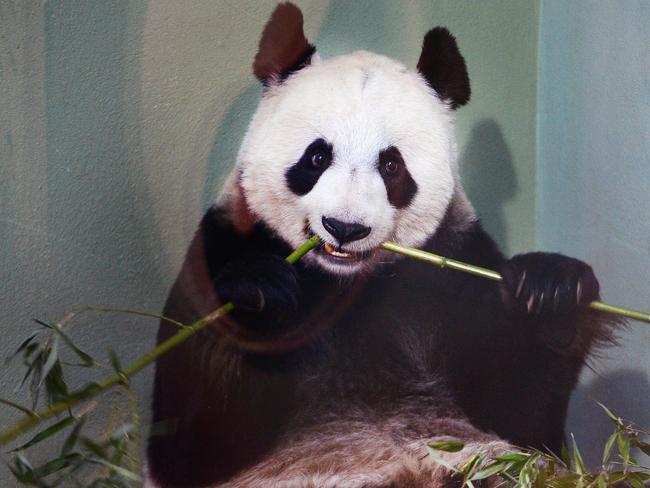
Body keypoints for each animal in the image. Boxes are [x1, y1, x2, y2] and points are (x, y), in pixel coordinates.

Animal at [146, 4, 616, 488]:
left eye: (392, 165)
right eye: (317, 157)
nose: (344, 227)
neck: (346, 285)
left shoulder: (453, 268)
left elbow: (521, 416)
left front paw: (550, 291)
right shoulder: (220, 245)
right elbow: (192, 444)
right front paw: (258, 293)